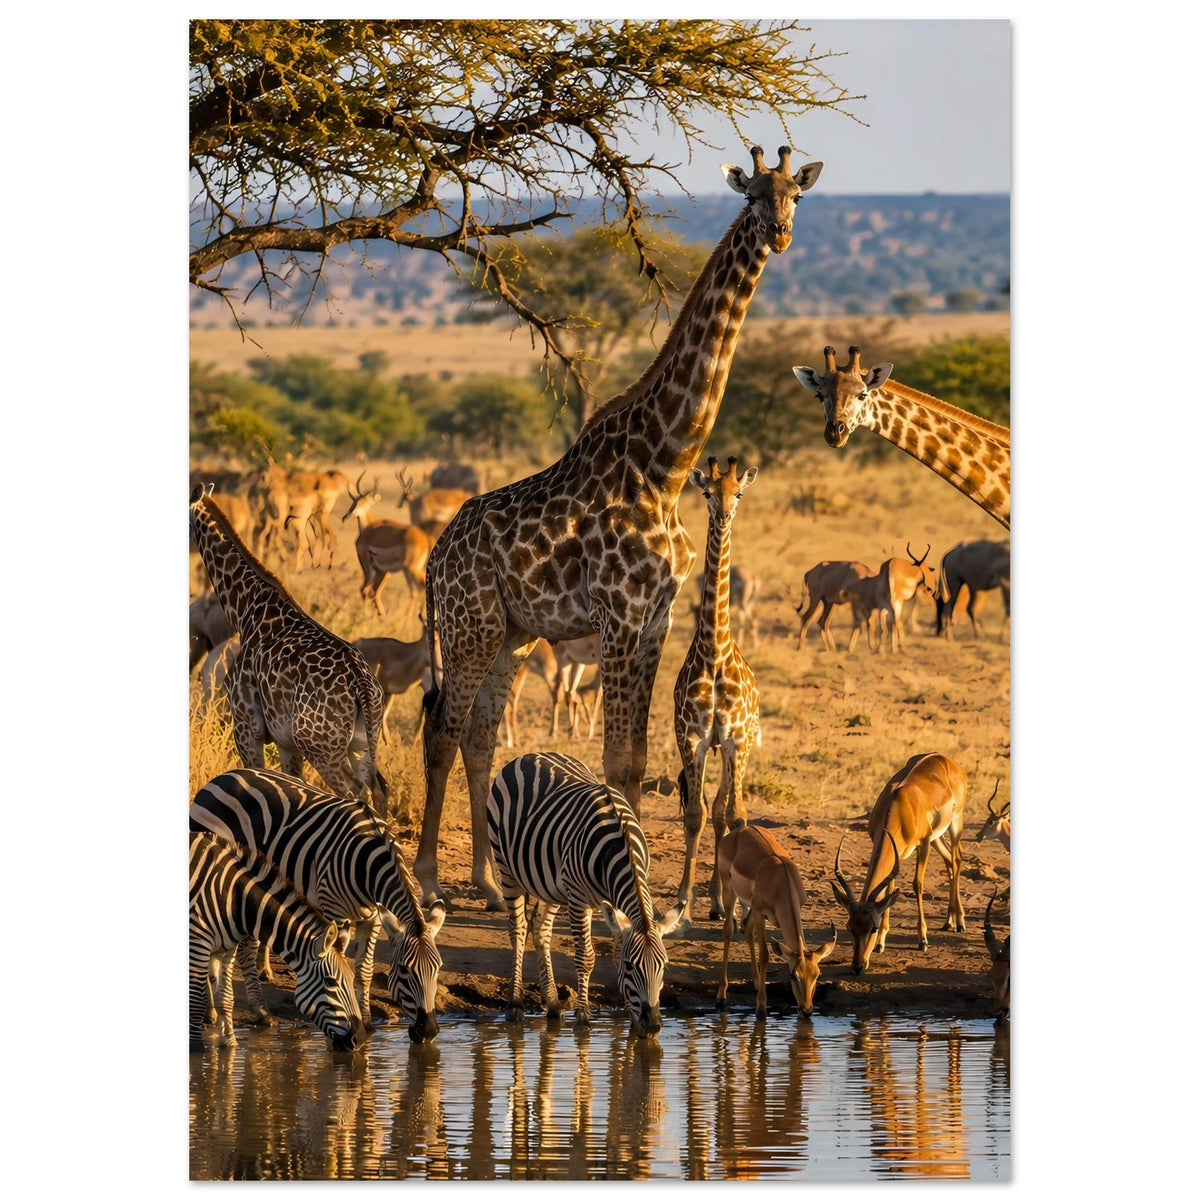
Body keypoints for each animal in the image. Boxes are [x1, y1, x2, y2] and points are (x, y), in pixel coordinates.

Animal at [189, 832, 365, 1051]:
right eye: (330, 982)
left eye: (352, 979)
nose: (360, 1040)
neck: (236, 900)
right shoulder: (198, 941)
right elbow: (195, 1001)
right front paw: (197, 1050)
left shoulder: (225, 950)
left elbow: (226, 998)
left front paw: (229, 1044)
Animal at [486, 752, 686, 1038]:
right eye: (631, 967)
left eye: (663, 965)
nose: (652, 1027)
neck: (620, 846)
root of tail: (530, 755)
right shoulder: (580, 899)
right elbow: (586, 957)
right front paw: (583, 1016)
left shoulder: (613, 904)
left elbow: (614, 953)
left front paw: (630, 1018)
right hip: (507, 867)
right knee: (518, 929)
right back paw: (515, 1004)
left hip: (552, 885)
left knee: (540, 927)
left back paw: (553, 1003)